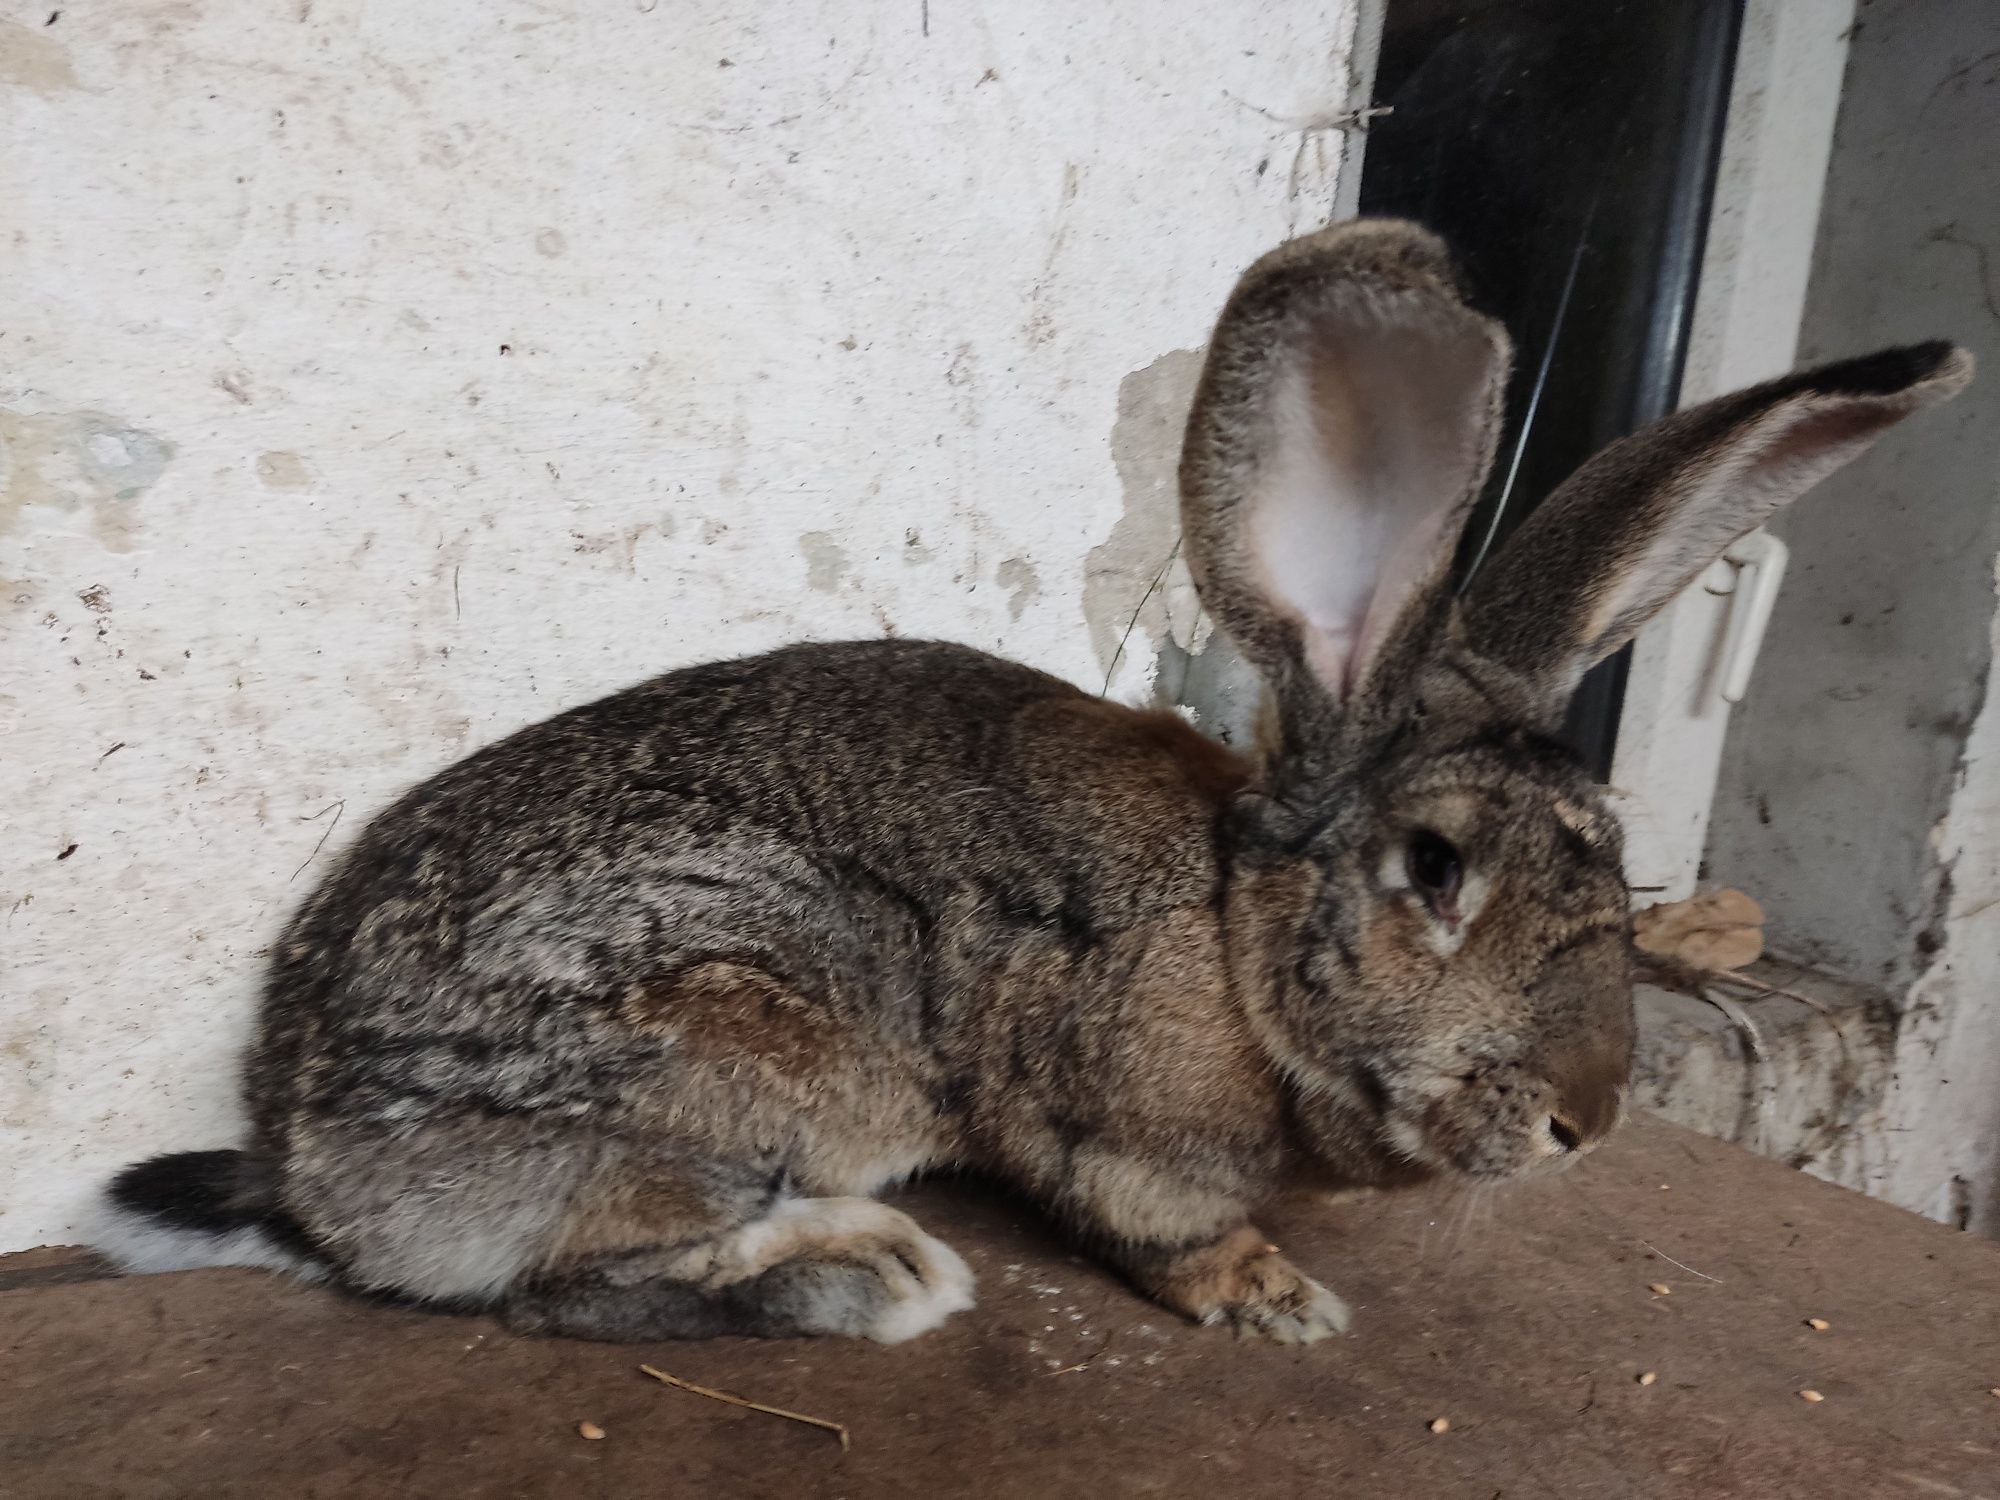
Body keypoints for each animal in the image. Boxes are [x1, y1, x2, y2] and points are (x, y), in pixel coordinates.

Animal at [97, 220, 1968, 1352]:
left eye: (1611, 867)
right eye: (1434, 869)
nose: (1591, 1119)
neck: (1234, 930)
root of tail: (307, 1152)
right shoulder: (1109, 1116)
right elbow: (1157, 1219)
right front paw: (1277, 1298)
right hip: (725, 1029)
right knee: (564, 1283)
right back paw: (873, 1273)